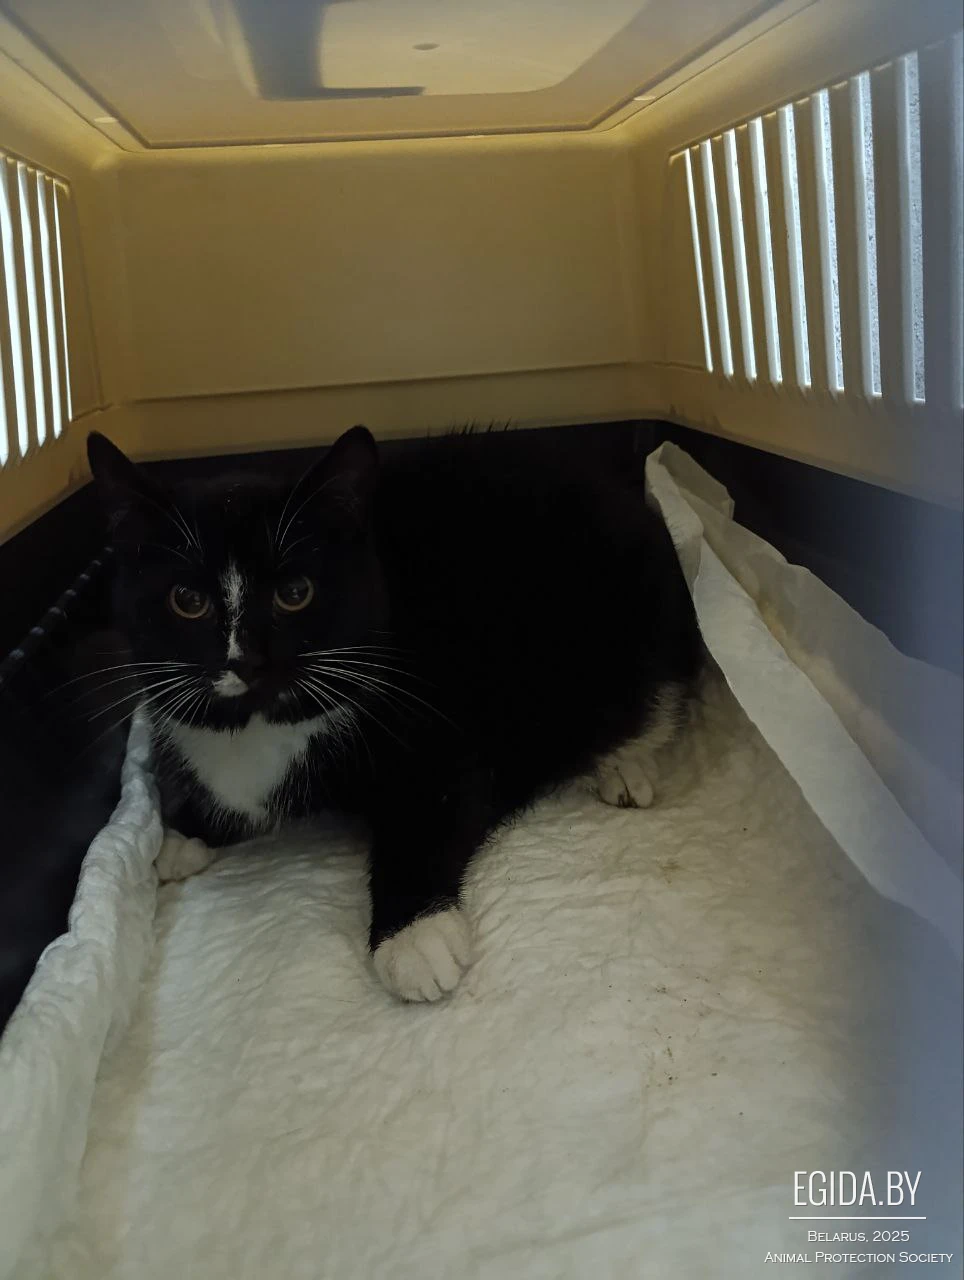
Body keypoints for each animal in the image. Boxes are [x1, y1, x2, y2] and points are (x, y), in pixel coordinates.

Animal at [87, 425, 705, 1001]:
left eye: (296, 592)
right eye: (187, 601)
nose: (248, 661)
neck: (263, 721)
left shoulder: (443, 727)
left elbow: (434, 807)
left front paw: (413, 937)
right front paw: (182, 834)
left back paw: (625, 765)